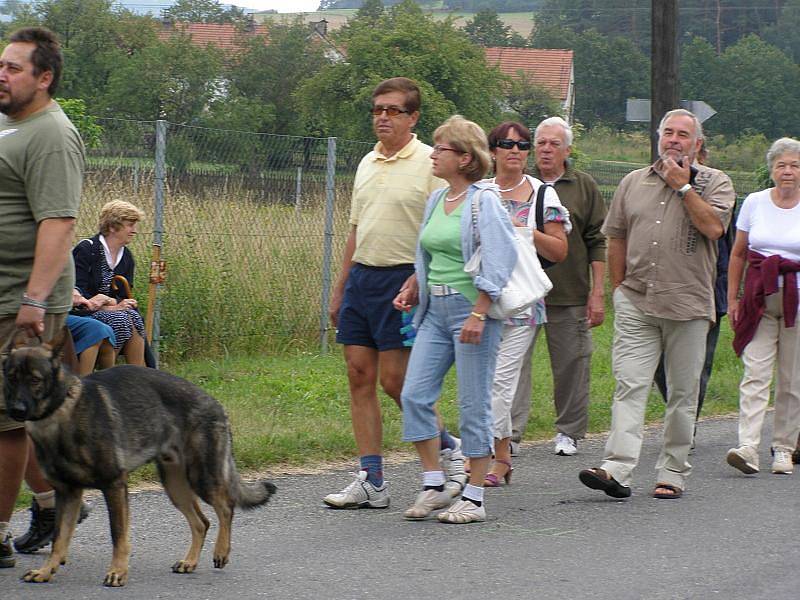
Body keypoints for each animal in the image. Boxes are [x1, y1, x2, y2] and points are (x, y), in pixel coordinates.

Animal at [0, 328, 276, 584]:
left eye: (35, 380)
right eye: (11, 379)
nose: (16, 410)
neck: (60, 414)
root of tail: (215, 402)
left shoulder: (114, 485)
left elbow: (118, 534)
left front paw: (117, 572)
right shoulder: (68, 493)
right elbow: (59, 538)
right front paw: (46, 571)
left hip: (202, 478)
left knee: (226, 507)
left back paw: (221, 551)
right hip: (175, 486)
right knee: (202, 522)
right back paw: (189, 561)